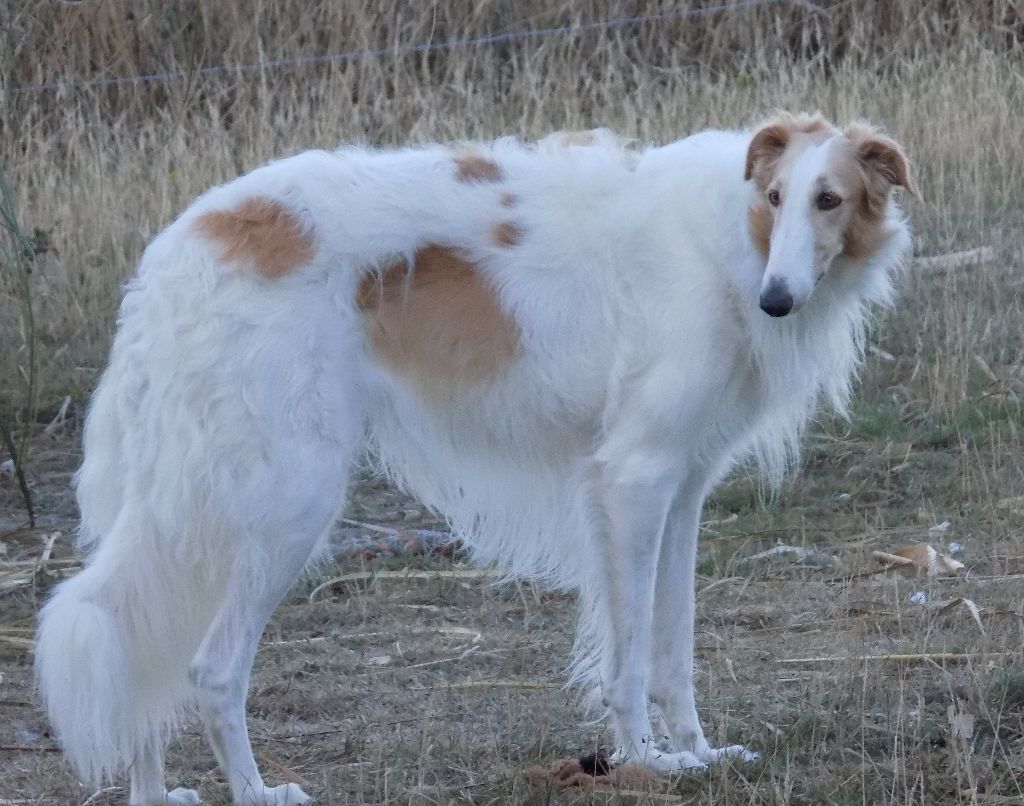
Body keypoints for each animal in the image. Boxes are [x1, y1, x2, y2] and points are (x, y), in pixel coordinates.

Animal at [34, 115, 913, 806]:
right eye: (777, 198)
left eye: (829, 199)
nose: (777, 299)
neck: (728, 238)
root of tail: (181, 244)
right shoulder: (633, 479)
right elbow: (630, 662)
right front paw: (646, 764)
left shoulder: (684, 485)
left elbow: (674, 650)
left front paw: (699, 752)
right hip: (288, 501)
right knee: (210, 669)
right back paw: (256, 792)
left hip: (201, 507)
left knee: (137, 637)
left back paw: (155, 792)